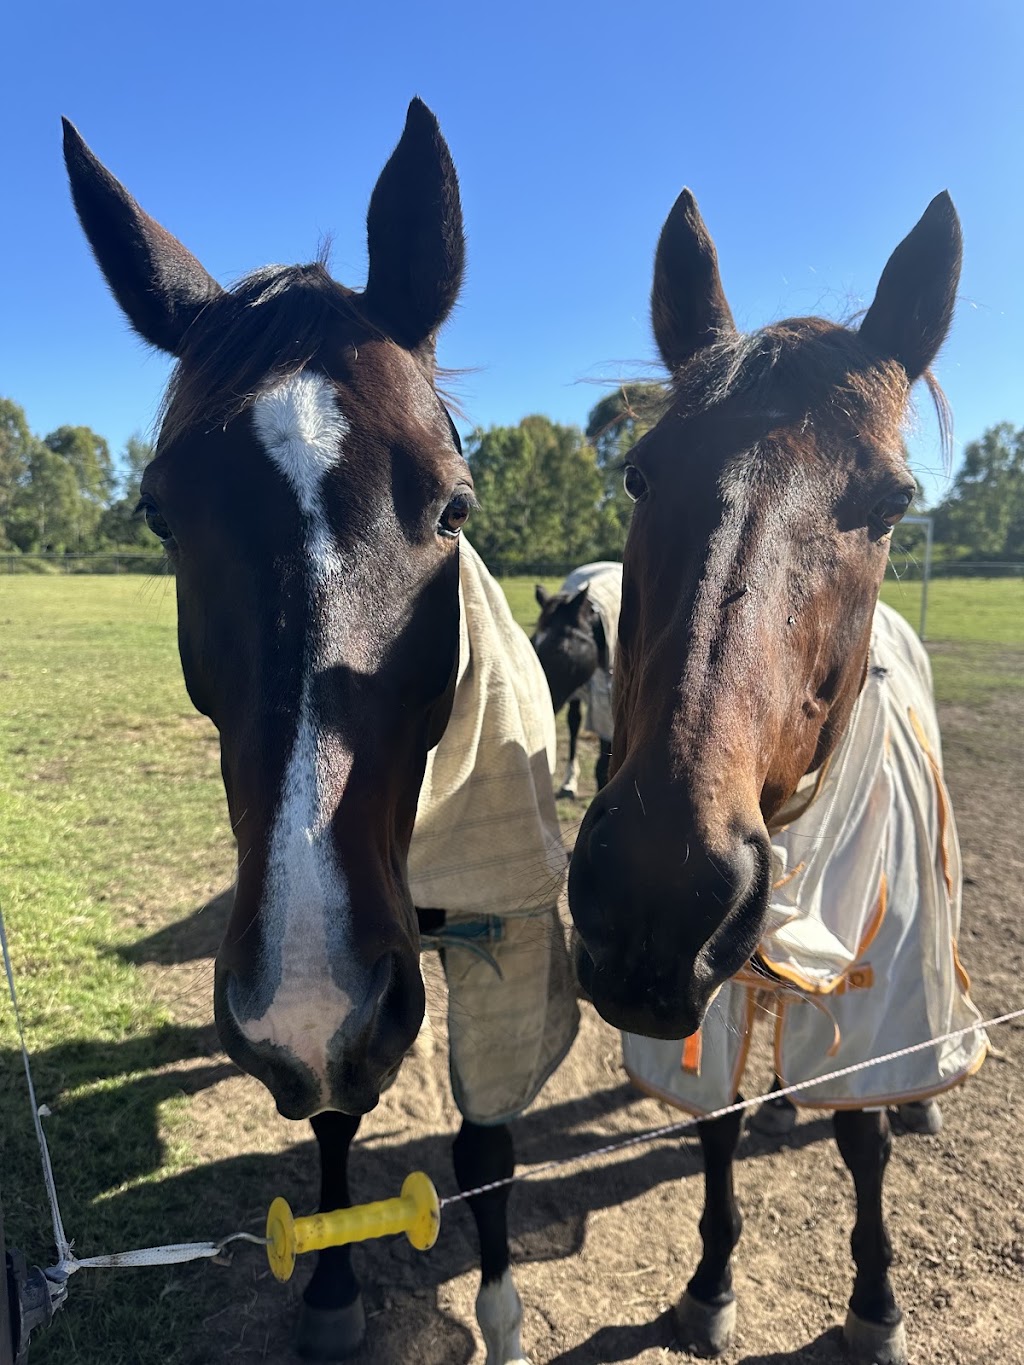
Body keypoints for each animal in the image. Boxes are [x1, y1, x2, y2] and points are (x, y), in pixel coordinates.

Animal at [63, 103, 579, 1365]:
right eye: (162, 515)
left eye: (454, 506)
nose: (298, 1003)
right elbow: (335, 1118)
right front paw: (335, 1292)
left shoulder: (503, 937)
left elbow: (486, 1141)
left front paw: (499, 1310)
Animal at [531, 563, 621, 797]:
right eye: (532, 643)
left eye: (561, 649)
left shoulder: (606, 706)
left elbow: (602, 765)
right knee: (573, 725)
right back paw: (569, 781)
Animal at [568, 187, 988, 1364]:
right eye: (639, 471)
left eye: (891, 505)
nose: (656, 893)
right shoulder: (703, 1004)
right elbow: (717, 1122)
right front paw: (709, 1283)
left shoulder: (873, 995)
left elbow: (863, 1144)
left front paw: (876, 1303)